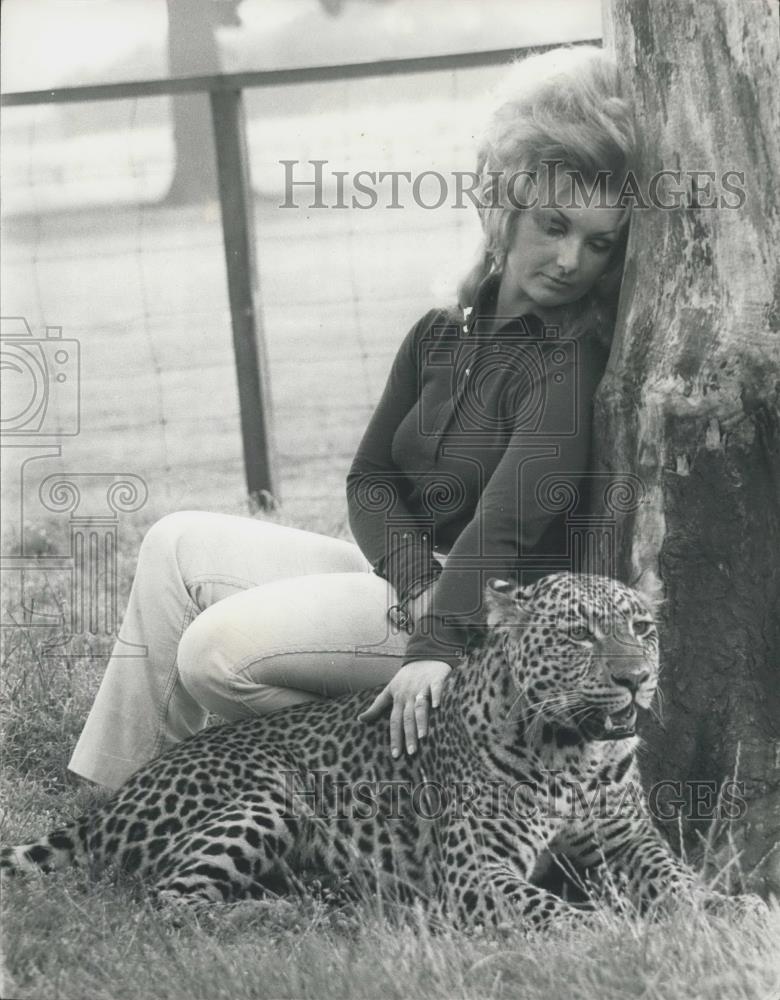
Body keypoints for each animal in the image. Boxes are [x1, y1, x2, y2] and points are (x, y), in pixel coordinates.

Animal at [0, 576, 764, 932]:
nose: (636, 677)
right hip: (270, 793)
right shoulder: (478, 870)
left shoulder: (628, 838)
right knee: (170, 899)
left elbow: (674, 877)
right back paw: (281, 916)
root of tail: (111, 802)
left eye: (643, 627)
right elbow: (552, 909)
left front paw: (725, 908)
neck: (572, 753)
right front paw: (610, 930)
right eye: (578, 634)